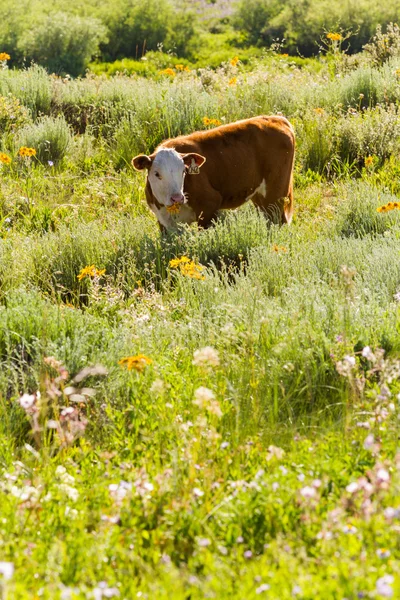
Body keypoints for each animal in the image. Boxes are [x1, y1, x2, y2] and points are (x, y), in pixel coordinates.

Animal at [131, 115, 294, 232]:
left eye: (183, 171)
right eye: (157, 173)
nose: (177, 198)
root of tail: (277, 119)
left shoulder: (209, 205)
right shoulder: (163, 222)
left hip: (276, 193)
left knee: (279, 221)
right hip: (260, 196)